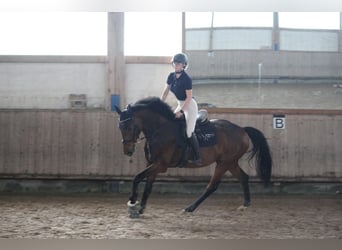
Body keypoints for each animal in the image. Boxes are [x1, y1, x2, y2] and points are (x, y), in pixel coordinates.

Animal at [115, 96, 272, 218]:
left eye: (129, 127)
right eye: (120, 128)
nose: (128, 151)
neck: (160, 130)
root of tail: (242, 130)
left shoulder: (161, 165)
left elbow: (137, 178)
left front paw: (132, 202)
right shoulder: (152, 163)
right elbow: (148, 185)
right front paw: (141, 208)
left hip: (224, 163)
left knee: (212, 186)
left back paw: (189, 208)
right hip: (230, 162)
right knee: (243, 177)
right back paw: (245, 204)